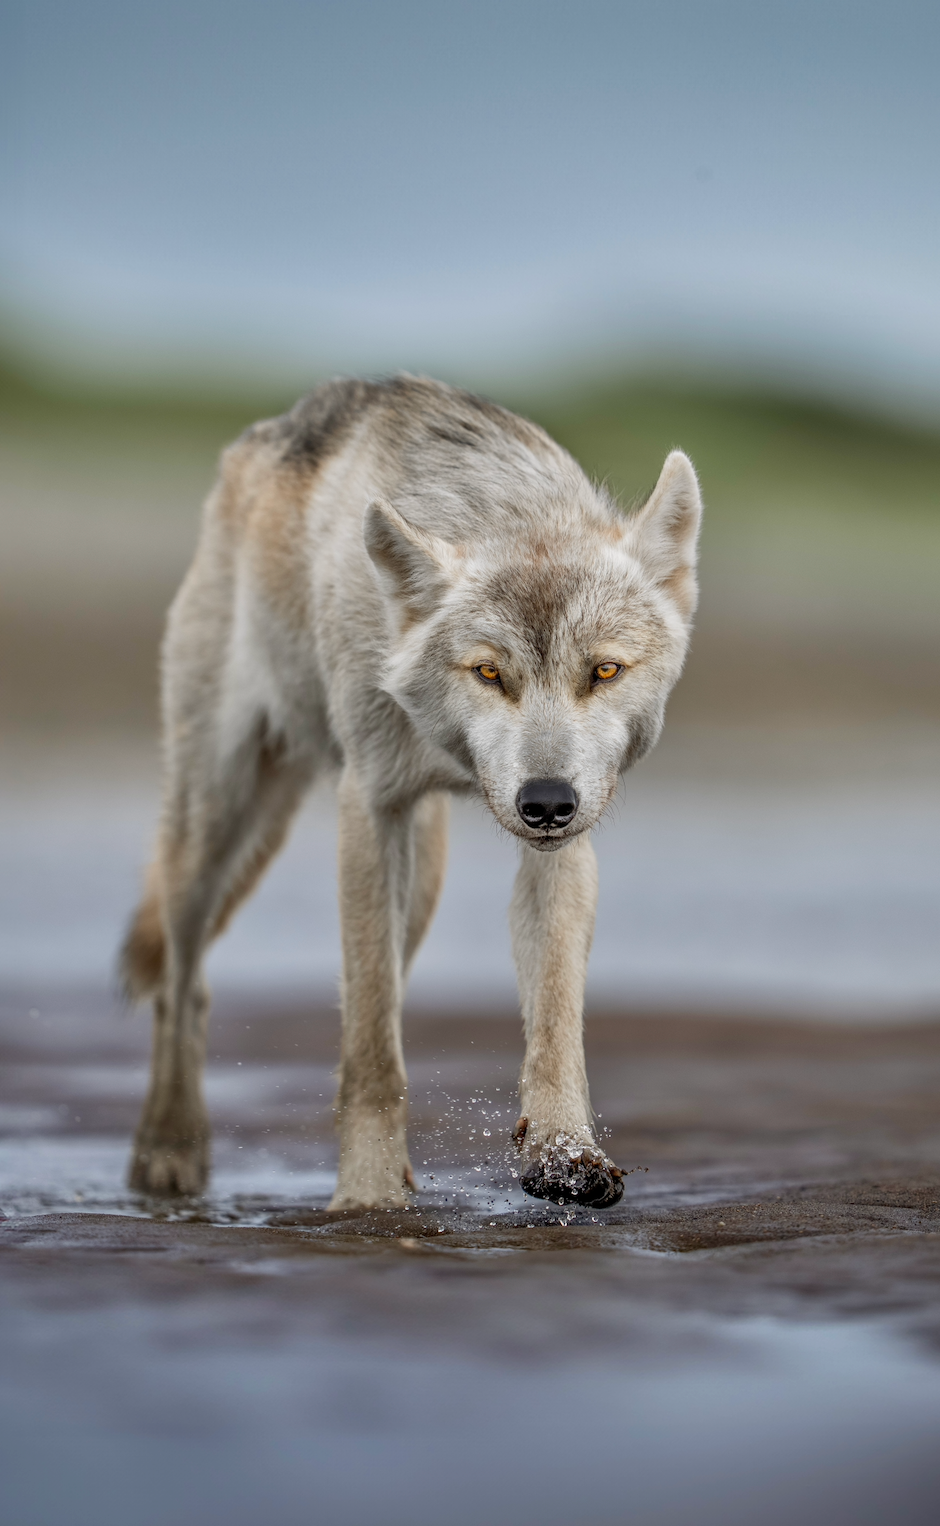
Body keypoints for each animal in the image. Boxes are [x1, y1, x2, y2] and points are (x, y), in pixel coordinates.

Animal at [120, 375, 701, 1211]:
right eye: (489, 672)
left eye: (604, 671)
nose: (545, 802)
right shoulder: (368, 809)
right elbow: (370, 1054)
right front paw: (367, 1200)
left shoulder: (562, 847)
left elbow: (554, 1022)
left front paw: (562, 1156)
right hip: (214, 826)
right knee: (183, 984)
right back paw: (168, 1151)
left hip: (420, 878)